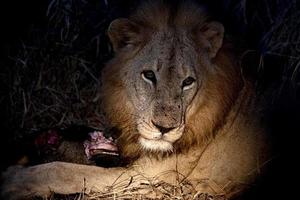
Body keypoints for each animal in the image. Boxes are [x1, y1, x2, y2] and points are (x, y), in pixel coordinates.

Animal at [1, 0, 270, 199]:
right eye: (149, 75)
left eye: (188, 81)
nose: (164, 129)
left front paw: (13, 179)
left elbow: (66, 171)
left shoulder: (147, 179)